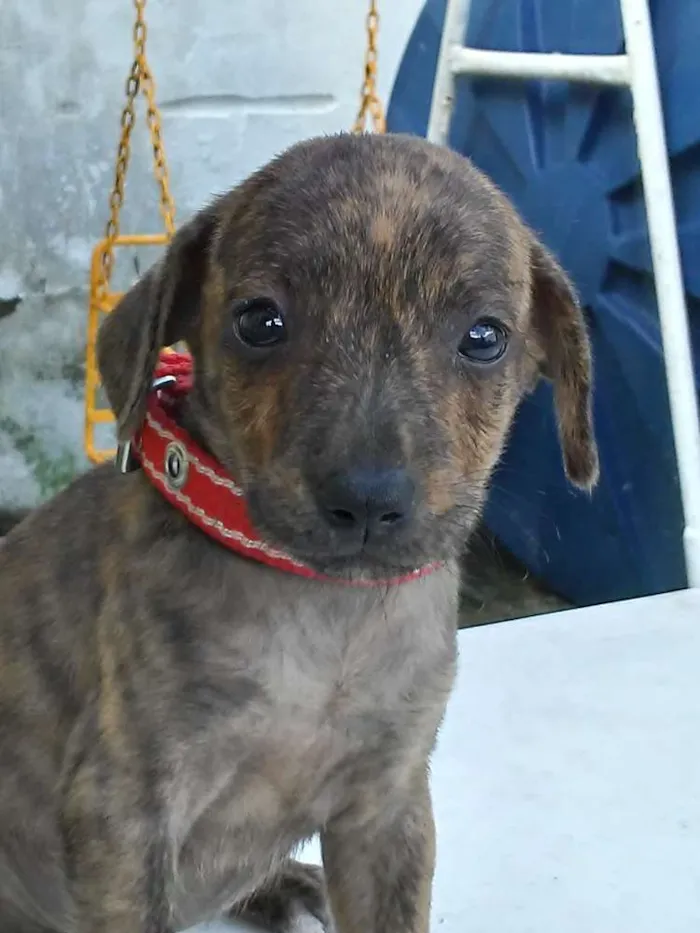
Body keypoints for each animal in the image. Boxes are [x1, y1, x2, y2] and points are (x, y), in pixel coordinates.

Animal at [0, 131, 596, 932]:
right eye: (260, 322)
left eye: (484, 337)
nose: (368, 501)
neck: (324, 610)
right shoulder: (124, 811)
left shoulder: (389, 808)